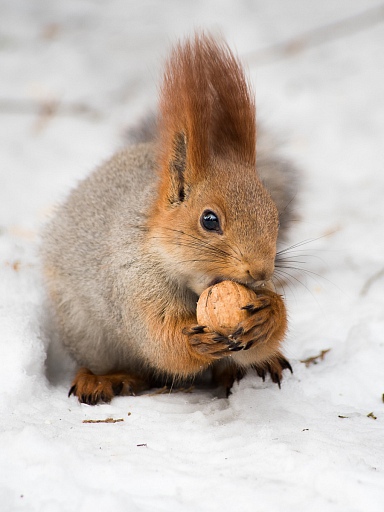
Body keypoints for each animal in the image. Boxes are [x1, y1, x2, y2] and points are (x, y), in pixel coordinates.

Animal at [41, 35, 294, 404]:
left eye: (273, 213)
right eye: (209, 220)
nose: (261, 272)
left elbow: (257, 339)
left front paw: (269, 314)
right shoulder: (134, 284)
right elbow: (159, 340)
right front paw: (192, 341)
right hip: (82, 329)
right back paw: (101, 379)